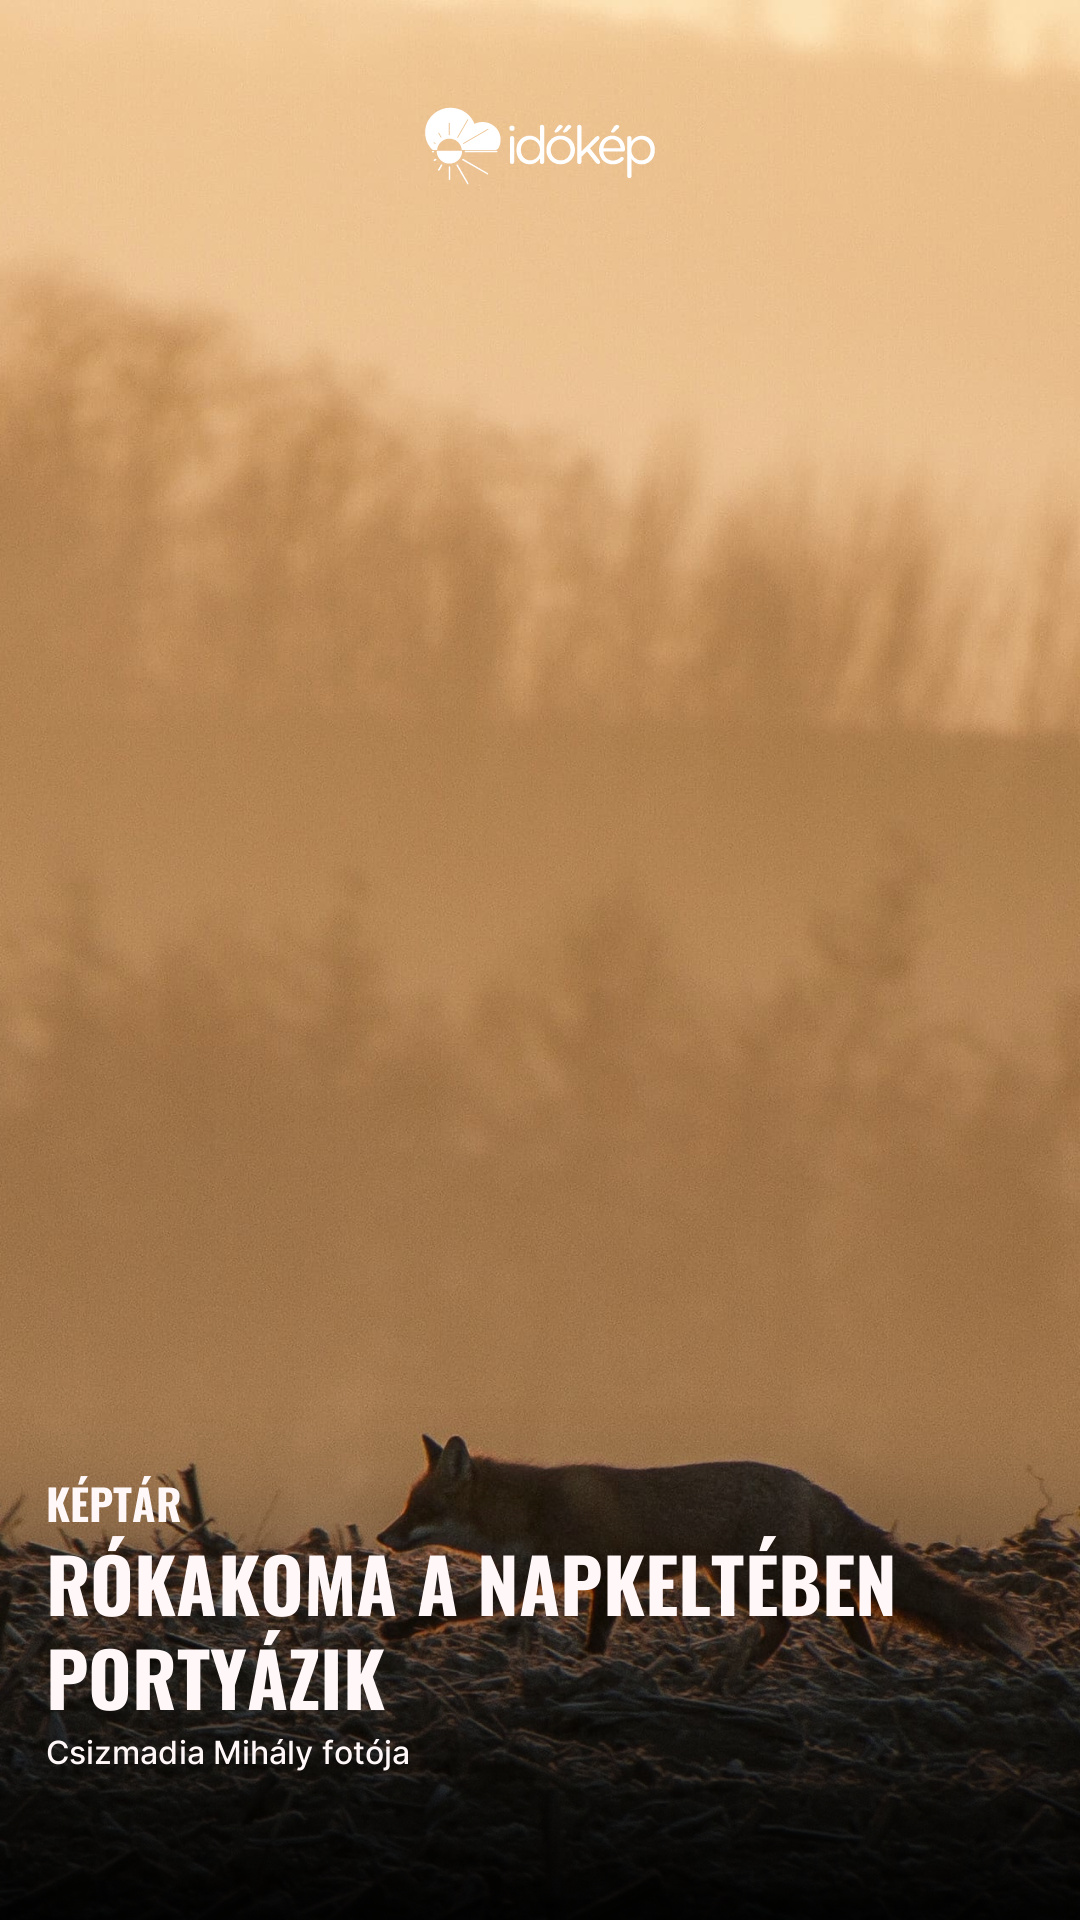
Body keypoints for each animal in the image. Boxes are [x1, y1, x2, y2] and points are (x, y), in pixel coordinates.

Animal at [376, 1443, 1022, 1666]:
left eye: (418, 1508)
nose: (383, 1537)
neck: (531, 1509)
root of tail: (809, 1483)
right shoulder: (536, 1580)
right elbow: (452, 1610)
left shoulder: (595, 1570)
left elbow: (449, 1611)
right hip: (741, 1577)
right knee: (840, 1603)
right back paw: (864, 1657)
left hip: (747, 1580)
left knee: (794, 1619)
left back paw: (753, 1667)